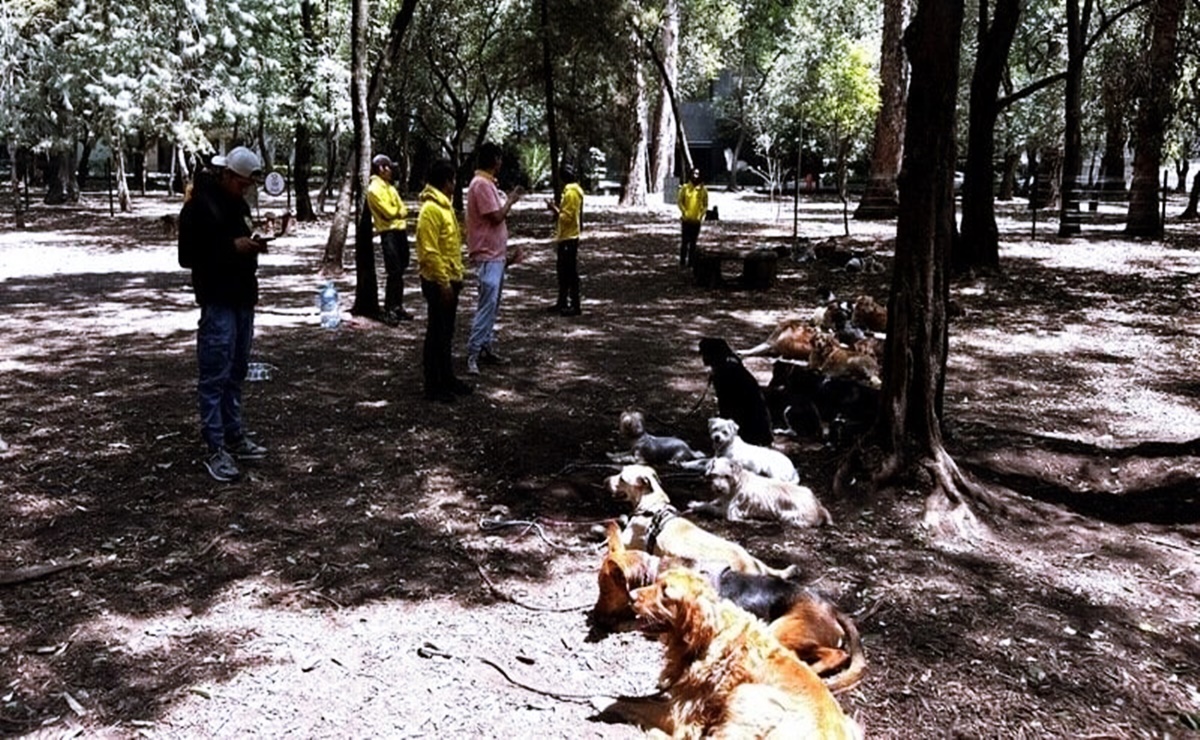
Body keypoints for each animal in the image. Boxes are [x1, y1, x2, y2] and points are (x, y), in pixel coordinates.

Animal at [592, 520, 864, 690]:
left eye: (604, 590)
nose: (594, 617)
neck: (653, 571)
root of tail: (832, 608)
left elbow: (628, 623)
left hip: (780, 630)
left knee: (837, 654)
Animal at [609, 568, 864, 734]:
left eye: (665, 594)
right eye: (656, 582)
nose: (631, 596)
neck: (708, 638)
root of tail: (832, 607)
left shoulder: (679, 715)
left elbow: (627, 703)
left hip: (751, 686)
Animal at [696, 455, 835, 525]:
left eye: (727, 476)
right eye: (714, 475)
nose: (719, 488)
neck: (736, 483)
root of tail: (819, 507)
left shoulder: (730, 512)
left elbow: (710, 507)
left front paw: (697, 505)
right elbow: (715, 501)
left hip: (789, 517)